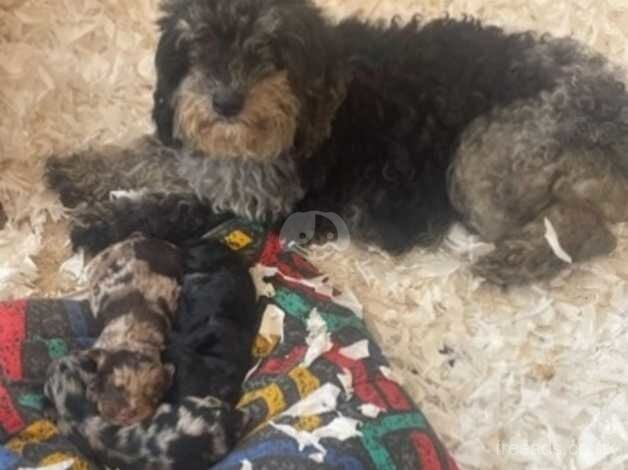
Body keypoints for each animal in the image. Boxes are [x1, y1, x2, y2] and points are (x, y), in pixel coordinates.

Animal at [45, 0, 628, 282]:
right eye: (198, 46)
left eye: (268, 49)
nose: (225, 102)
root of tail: (614, 105)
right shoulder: (203, 155)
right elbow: (148, 156)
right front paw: (77, 171)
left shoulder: (259, 203)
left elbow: (170, 207)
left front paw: (102, 221)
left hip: (481, 163)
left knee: (589, 232)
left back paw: (518, 261)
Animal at [83, 233, 183, 428]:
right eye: (116, 386)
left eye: (153, 395)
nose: (128, 414)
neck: (135, 339)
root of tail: (141, 236)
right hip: (101, 260)